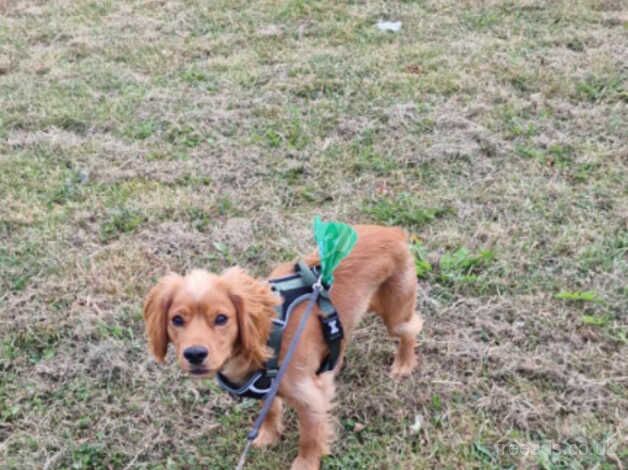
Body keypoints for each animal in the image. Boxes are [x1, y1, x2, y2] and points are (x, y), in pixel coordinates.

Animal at [145, 225, 424, 470]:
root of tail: (393, 231)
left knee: (412, 329)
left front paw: (305, 464)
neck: (266, 338)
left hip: (395, 314)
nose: (194, 354)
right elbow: (269, 412)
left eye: (222, 318)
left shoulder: (311, 398)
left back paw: (403, 364)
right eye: (177, 320)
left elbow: (310, 437)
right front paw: (268, 435)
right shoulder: (267, 389)